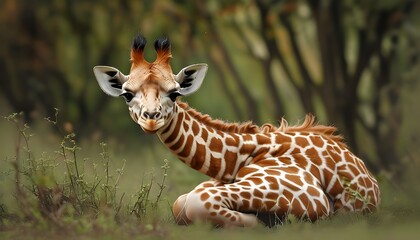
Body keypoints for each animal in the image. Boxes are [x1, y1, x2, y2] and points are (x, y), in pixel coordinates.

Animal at [94, 34, 380, 228]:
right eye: (127, 94)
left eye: (174, 93)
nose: (151, 120)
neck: (234, 161)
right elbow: (181, 204)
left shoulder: (312, 196)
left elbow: (196, 205)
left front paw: (267, 221)